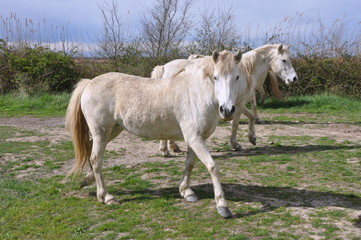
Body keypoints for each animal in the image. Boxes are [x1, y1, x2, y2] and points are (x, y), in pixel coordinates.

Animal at [64, 49, 245, 218]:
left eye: (237, 77)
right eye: (216, 77)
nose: (227, 110)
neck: (196, 93)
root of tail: (89, 83)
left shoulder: (196, 139)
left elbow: (189, 164)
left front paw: (186, 191)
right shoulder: (195, 139)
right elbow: (213, 167)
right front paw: (222, 206)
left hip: (112, 130)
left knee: (90, 151)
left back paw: (87, 180)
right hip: (101, 132)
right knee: (96, 159)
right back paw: (106, 196)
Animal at [153, 43, 296, 156]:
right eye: (284, 60)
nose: (294, 78)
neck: (246, 71)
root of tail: (164, 67)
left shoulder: (237, 103)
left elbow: (250, 117)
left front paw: (252, 137)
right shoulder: (238, 104)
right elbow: (235, 124)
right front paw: (235, 144)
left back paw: (173, 147)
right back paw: (165, 150)